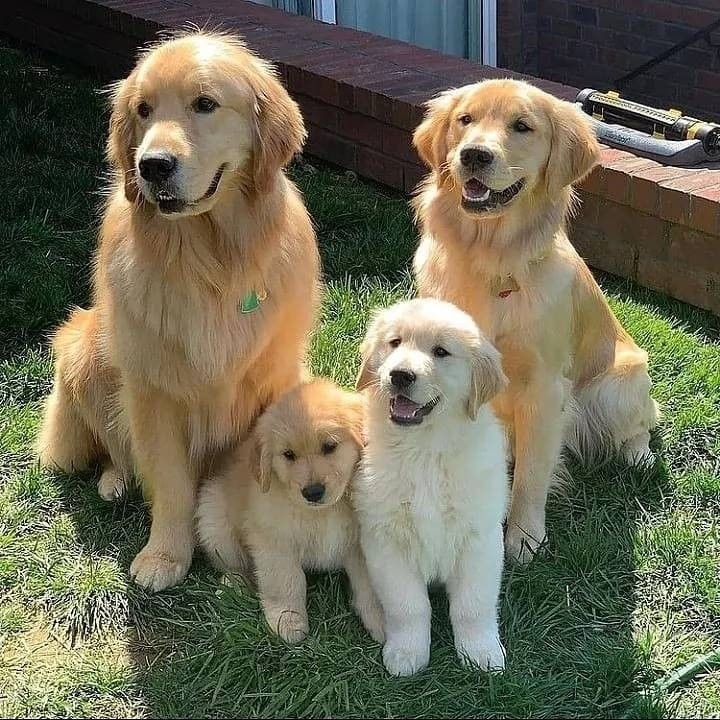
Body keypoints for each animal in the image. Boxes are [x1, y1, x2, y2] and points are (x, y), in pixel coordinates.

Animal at [36, 32, 320, 592]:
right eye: (143, 110)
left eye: (204, 104)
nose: (152, 165)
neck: (209, 259)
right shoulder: (153, 392)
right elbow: (167, 483)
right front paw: (166, 556)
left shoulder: (266, 387)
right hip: (82, 350)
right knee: (116, 450)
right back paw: (114, 481)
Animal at [194, 380, 386, 644]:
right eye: (288, 455)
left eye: (329, 446)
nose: (313, 492)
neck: (323, 512)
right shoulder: (275, 543)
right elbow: (286, 582)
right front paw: (288, 620)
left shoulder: (361, 542)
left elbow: (370, 584)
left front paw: (381, 619)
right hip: (213, 520)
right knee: (232, 562)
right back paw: (233, 585)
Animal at [352, 298, 506, 676]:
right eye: (394, 343)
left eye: (441, 352)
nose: (400, 375)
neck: (424, 450)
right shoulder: (384, 541)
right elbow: (408, 606)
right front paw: (407, 653)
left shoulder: (479, 540)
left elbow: (473, 605)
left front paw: (481, 653)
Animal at [410, 79, 660, 564]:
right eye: (465, 120)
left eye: (522, 126)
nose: (474, 155)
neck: (491, 262)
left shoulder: (544, 388)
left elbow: (531, 473)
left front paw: (524, 537)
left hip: (621, 381)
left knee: (642, 422)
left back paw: (639, 455)